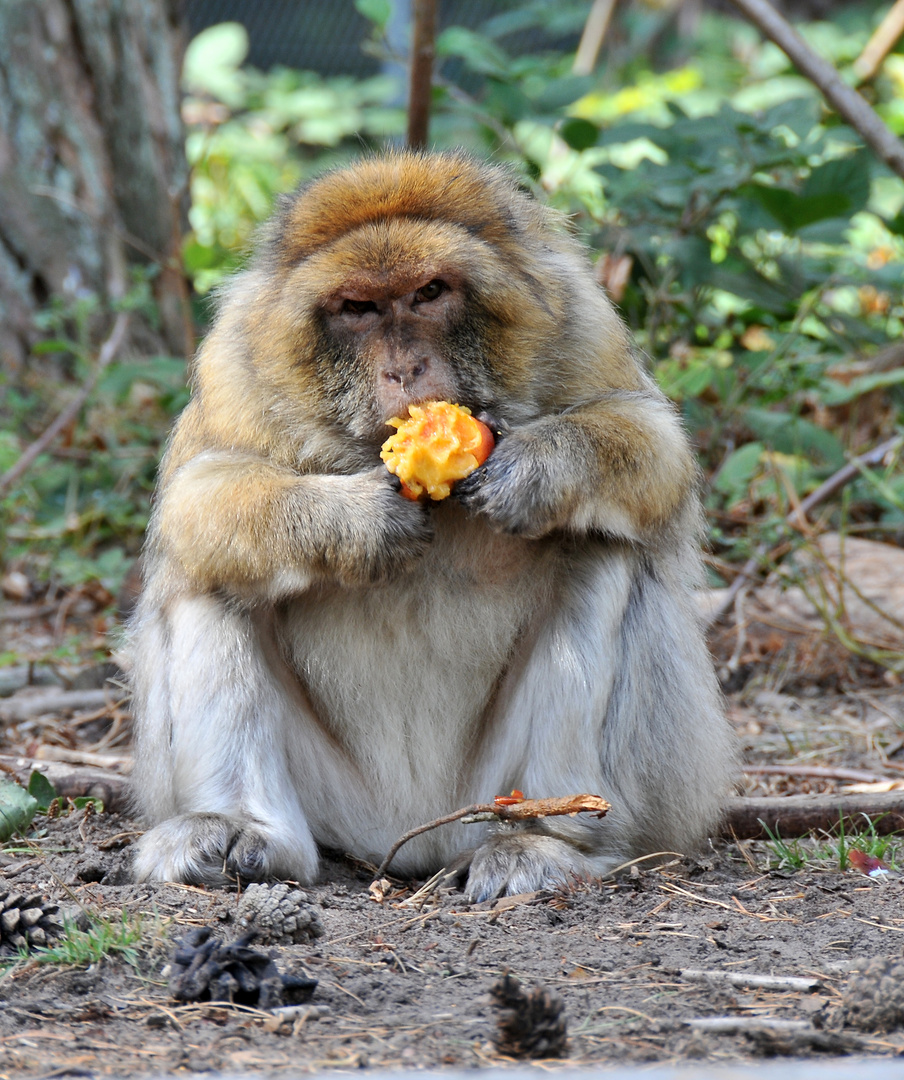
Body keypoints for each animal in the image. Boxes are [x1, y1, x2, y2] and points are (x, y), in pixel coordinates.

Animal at [128, 147, 734, 898]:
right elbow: (198, 495)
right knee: (210, 568)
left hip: (492, 794)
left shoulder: (579, 322)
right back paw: (244, 829)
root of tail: (412, 838)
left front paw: (534, 470)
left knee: (604, 547)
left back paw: (551, 835)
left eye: (429, 293)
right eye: (358, 308)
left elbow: (653, 446)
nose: (405, 367)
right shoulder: (236, 365)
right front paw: (358, 519)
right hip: (340, 804)